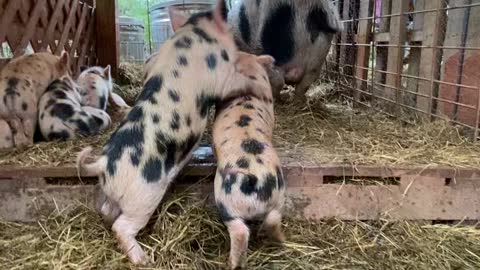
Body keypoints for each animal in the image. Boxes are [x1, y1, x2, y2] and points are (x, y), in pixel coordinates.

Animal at [78, 0, 274, 264]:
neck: (192, 35)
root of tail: (103, 165)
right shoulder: (222, 75)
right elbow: (238, 81)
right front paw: (259, 89)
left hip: (117, 196)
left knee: (107, 211)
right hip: (142, 199)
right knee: (121, 227)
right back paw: (143, 259)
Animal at [212, 51, 284, 268]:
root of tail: (256, 177)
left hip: (225, 201)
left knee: (240, 232)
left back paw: (231, 264)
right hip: (279, 197)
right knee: (272, 221)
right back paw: (281, 242)